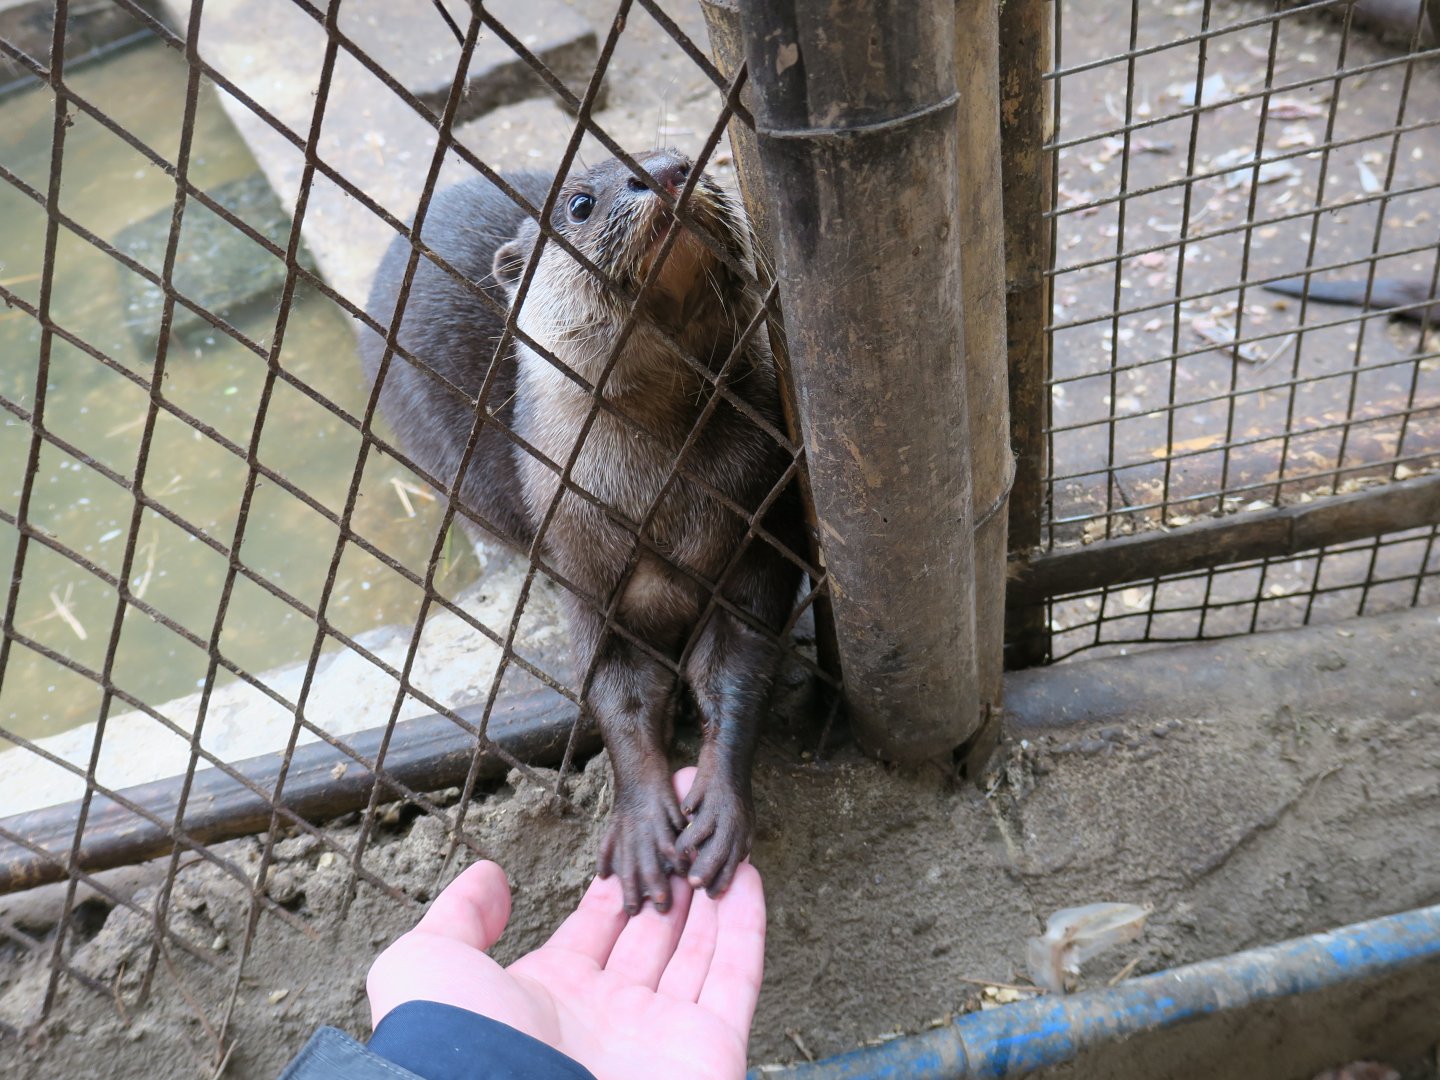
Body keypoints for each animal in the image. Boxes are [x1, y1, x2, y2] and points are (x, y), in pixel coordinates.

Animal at [358, 151, 803, 914]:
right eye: (581, 203)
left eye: (682, 153)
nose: (670, 168)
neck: (660, 499)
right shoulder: (583, 570)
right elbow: (616, 693)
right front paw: (643, 821)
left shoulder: (757, 534)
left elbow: (736, 667)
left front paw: (719, 803)